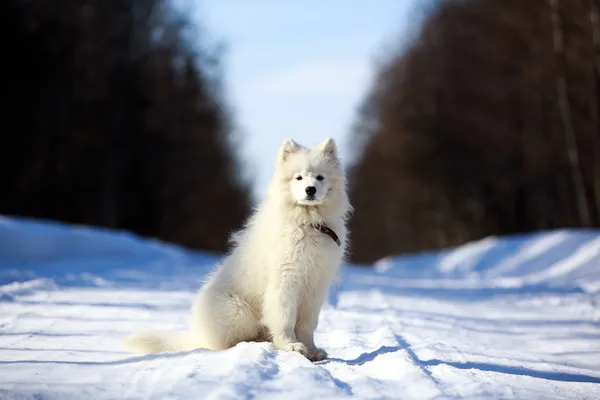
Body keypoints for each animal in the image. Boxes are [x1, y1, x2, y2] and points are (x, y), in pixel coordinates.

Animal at [125, 136, 352, 360]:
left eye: (320, 177)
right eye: (299, 178)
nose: (310, 190)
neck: (309, 222)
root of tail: (196, 334)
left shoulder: (316, 285)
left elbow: (307, 324)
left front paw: (312, 350)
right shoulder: (285, 280)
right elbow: (285, 317)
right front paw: (291, 346)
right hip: (240, 313)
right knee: (226, 341)